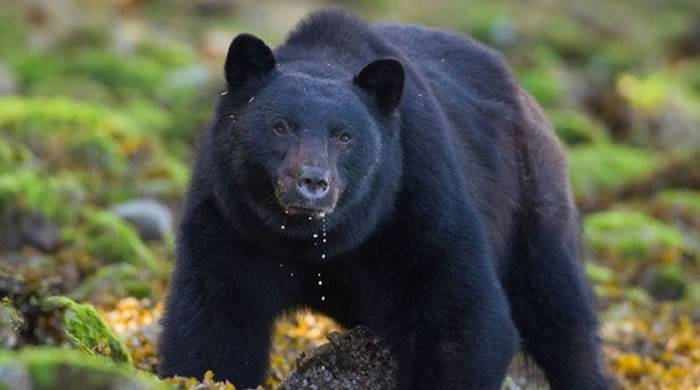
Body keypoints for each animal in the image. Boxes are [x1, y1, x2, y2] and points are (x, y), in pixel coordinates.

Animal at [159, 9, 612, 390]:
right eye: (279, 126)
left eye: (344, 136)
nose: (313, 182)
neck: (317, 239)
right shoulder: (230, 219)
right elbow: (216, 318)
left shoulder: (420, 200)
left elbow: (464, 314)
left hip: (533, 202)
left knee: (560, 310)